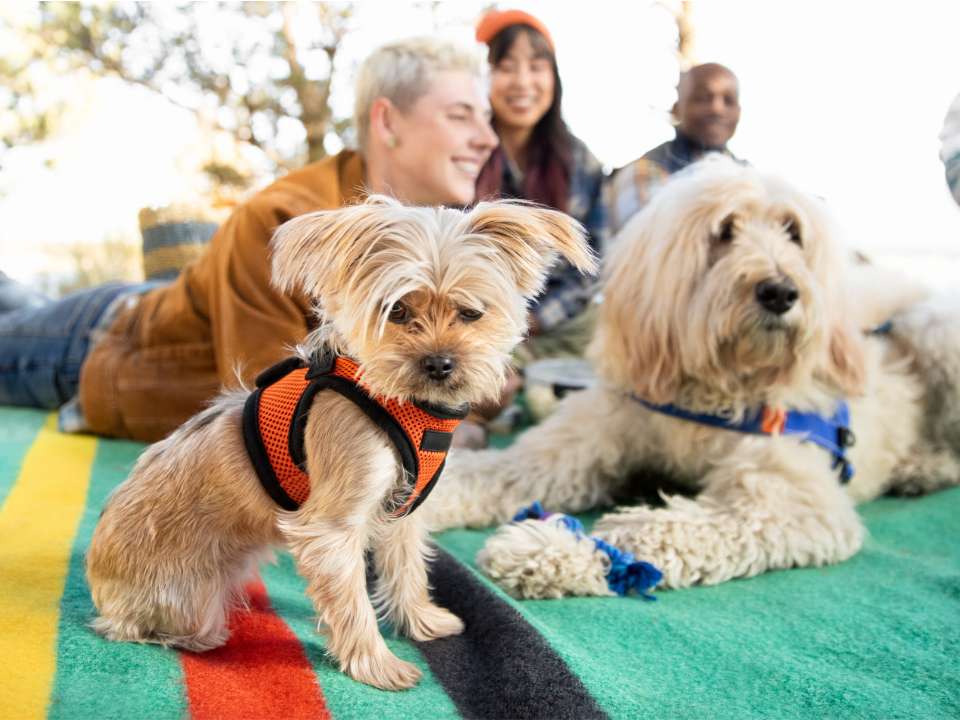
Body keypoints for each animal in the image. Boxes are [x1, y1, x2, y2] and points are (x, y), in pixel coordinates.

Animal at [86, 194, 592, 688]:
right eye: (397, 311)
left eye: (471, 312)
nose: (439, 363)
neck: (404, 405)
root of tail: (97, 581)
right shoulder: (331, 529)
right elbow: (352, 601)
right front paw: (377, 666)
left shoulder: (404, 511)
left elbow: (408, 569)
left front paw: (421, 622)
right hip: (189, 602)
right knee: (150, 629)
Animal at [426, 158, 960, 596]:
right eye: (725, 231)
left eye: (793, 231)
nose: (781, 292)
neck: (712, 389)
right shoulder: (578, 443)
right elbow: (490, 472)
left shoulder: (785, 501)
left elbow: (648, 531)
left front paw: (548, 548)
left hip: (937, 330)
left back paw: (923, 467)